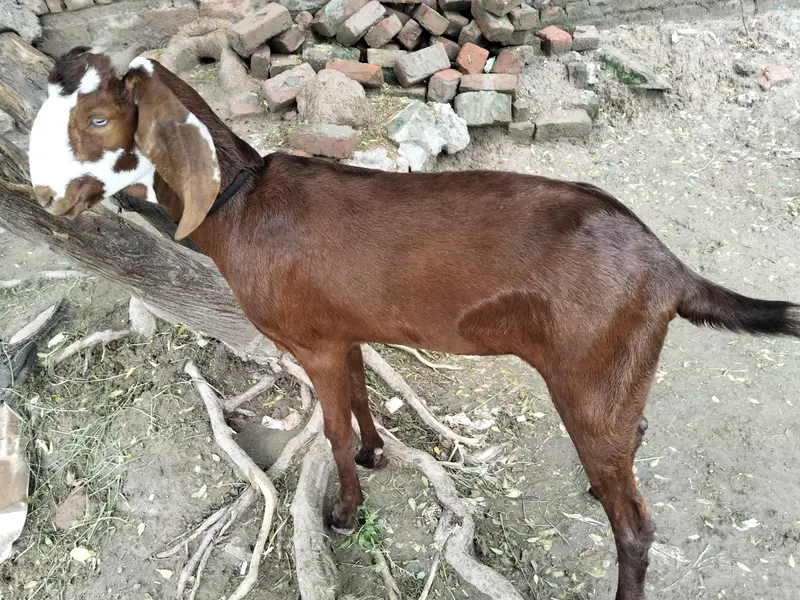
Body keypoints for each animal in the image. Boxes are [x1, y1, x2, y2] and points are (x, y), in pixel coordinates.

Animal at [26, 47, 800, 600]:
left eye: (98, 120)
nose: (44, 198)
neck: (238, 206)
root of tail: (669, 268)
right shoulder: (342, 330)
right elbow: (362, 398)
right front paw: (375, 455)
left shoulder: (310, 342)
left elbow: (333, 427)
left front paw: (343, 513)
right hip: (618, 368)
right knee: (631, 433)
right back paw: (597, 485)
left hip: (591, 370)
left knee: (637, 525)